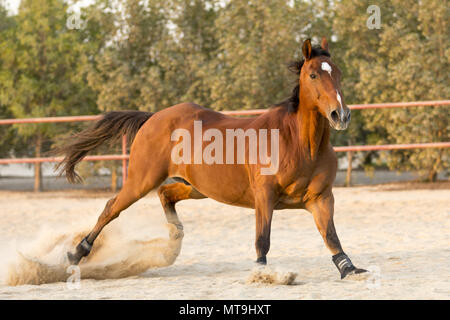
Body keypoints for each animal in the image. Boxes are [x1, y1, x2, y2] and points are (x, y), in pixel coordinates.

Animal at [57, 38, 366, 280]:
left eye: (338, 73)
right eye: (313, 75)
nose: (341, 115)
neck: (300, 144)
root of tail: (153, 117)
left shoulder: (321, 198)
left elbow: (331, 236)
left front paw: (349, 268)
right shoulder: (264, 197)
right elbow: (262, 239)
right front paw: (261, 273)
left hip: (197, 188)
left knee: (166, 194)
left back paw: (174, 238)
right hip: (140, 180)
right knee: (112, 208)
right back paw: (76, 253)